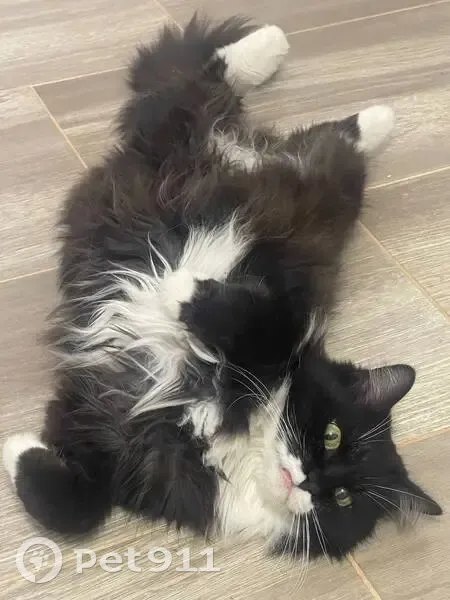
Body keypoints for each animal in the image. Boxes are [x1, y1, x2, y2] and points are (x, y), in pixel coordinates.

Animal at [3, 15, 441, 561]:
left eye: (342, 498)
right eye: (333, 435)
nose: (309, 481)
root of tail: (250, 150)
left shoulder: (123, 446)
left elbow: (72, 506)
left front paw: (14, 447)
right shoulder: (282, 319)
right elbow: (243, 319)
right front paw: (178, 289)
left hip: (315, 180)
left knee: (323, 139)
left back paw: (369, 111)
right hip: (186, 134)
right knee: (209, 78)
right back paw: (295, 58)